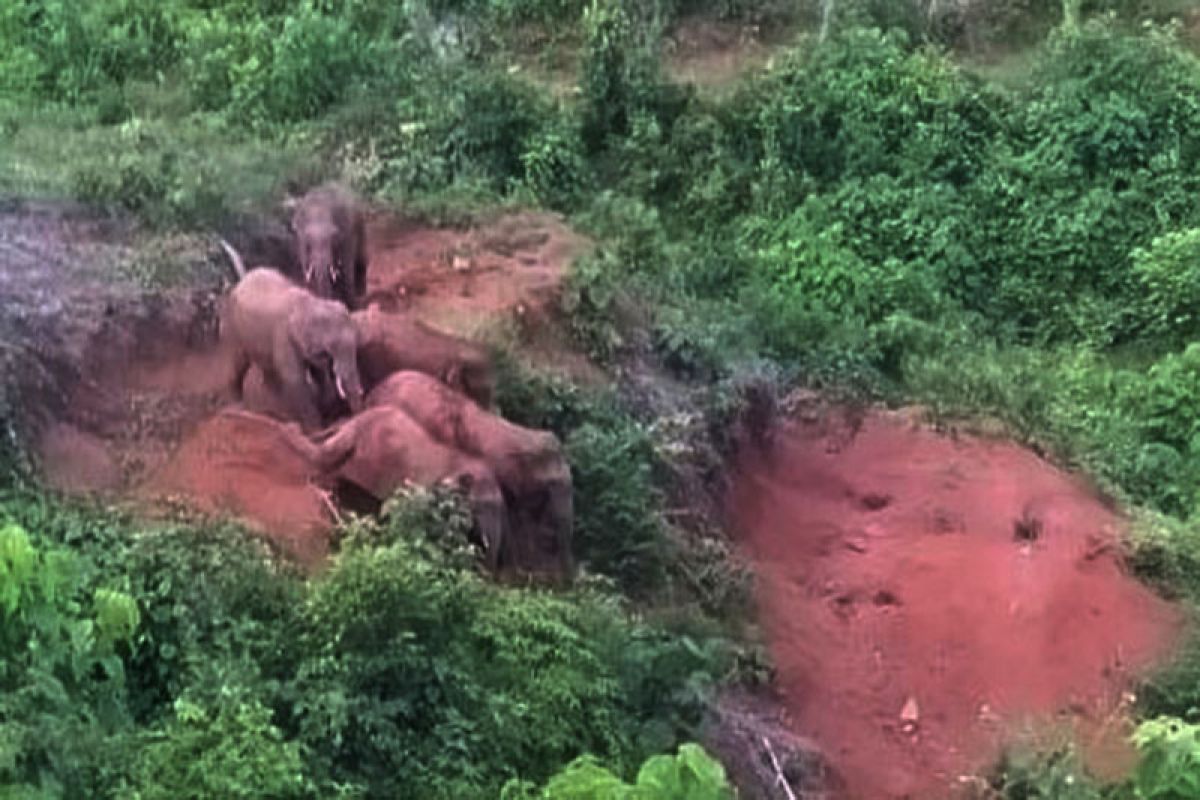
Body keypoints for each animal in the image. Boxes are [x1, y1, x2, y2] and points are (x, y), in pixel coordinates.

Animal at [220, 267, 360, 431]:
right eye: (331, 346)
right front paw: (316, 429)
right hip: (233, 328)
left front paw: (326, 407)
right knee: (238, 364)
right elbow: (295, 379)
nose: (356, 415)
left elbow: (317, 370)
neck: (308, 304)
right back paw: (239, 407)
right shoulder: (284, 337)